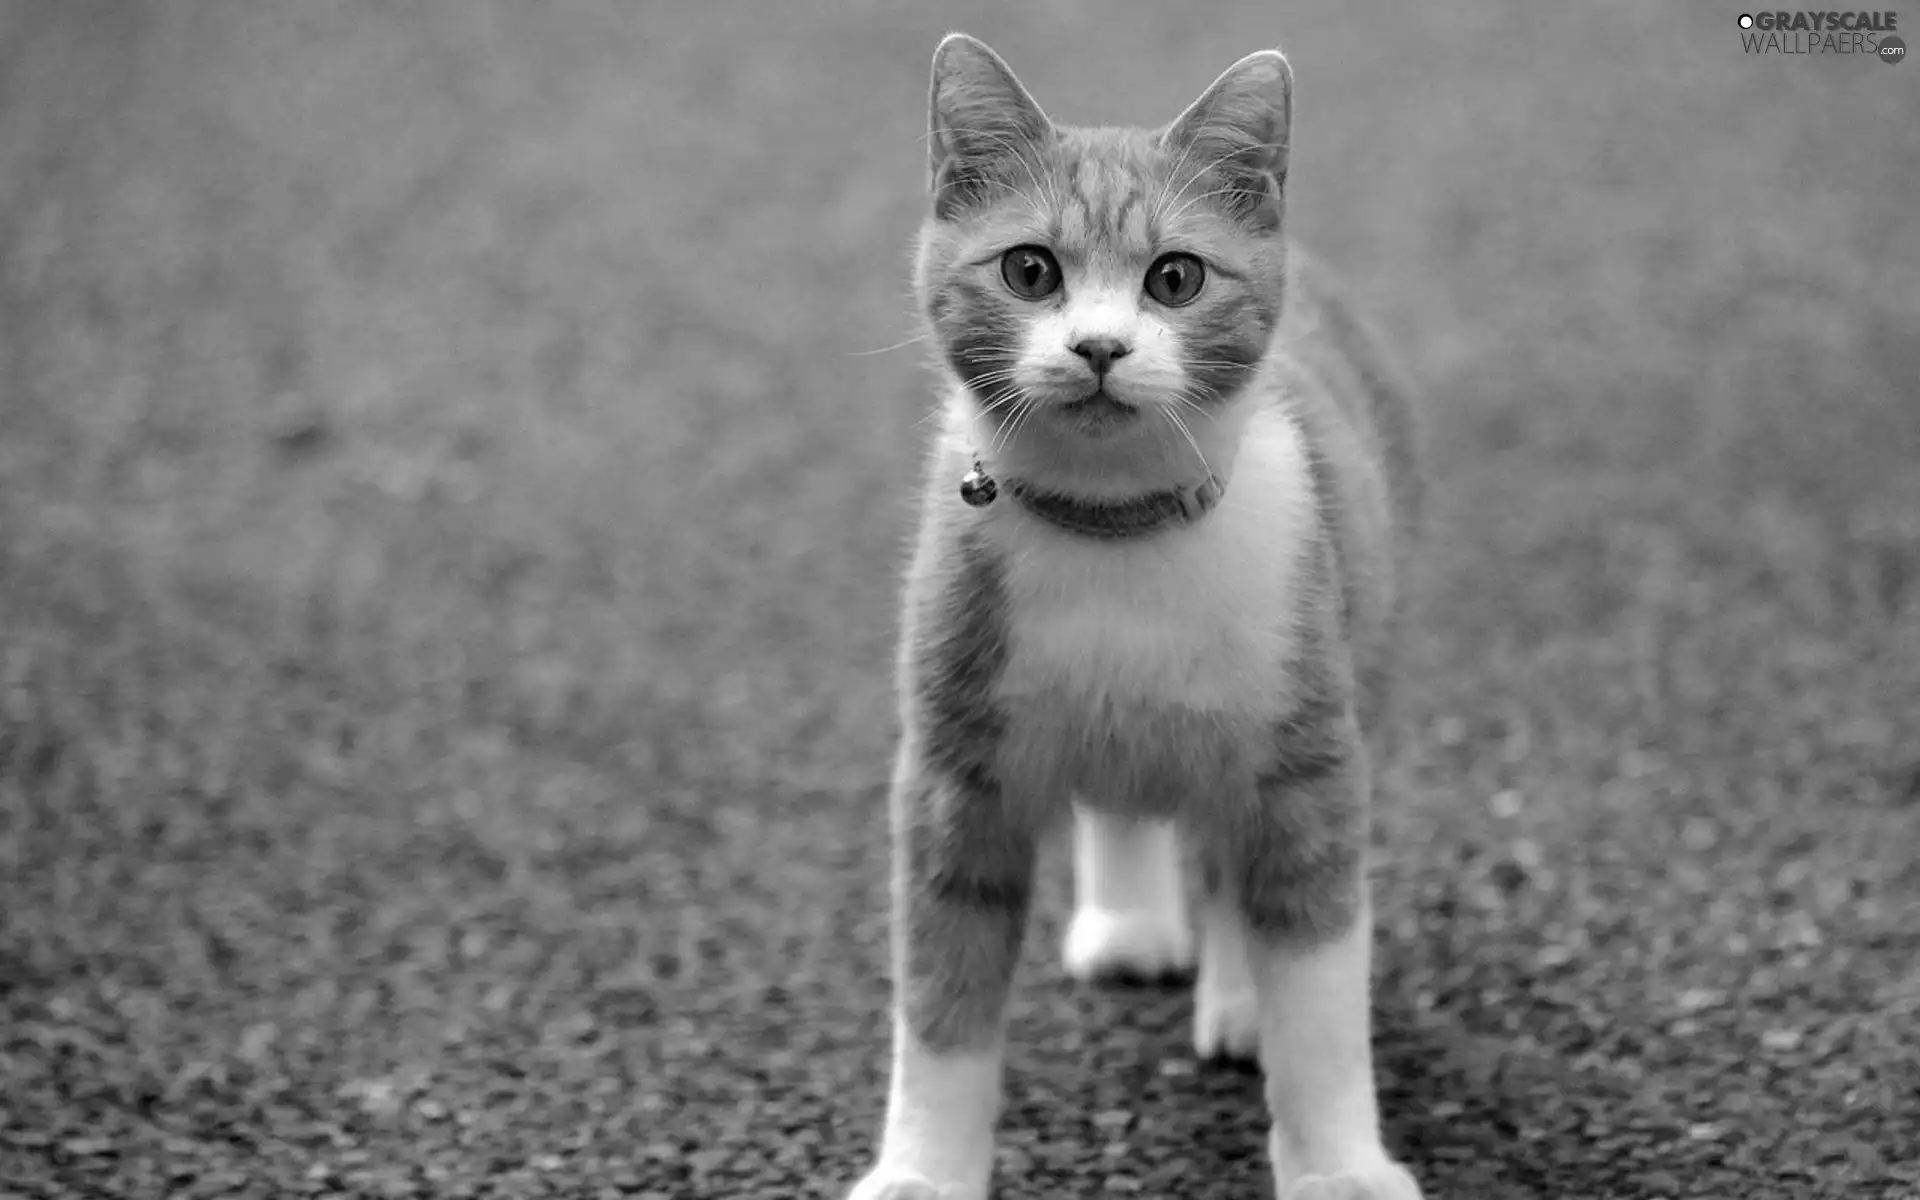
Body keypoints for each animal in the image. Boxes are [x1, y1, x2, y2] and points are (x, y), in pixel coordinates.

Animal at [852, 32, 1428, 1190]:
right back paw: (1128, 919)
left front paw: (1340, 1164)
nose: (1101, 348)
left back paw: (1238, 995)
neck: (1115, 532)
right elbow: (941, 1004)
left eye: (1175, 277)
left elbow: (1319, 994)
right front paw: (924, 1170)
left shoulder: (1310, 766)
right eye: (1031, 270)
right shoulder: (952, 780)